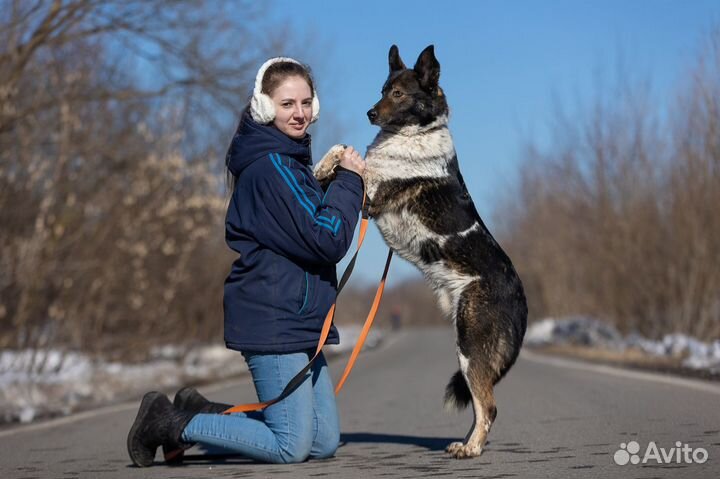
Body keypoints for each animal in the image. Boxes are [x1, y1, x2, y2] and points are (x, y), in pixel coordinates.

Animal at [316, 46, 528, 462]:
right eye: (383, 90)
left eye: (399, 94)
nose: (370, 114)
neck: (415, 134)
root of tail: (519, 295)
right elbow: (343, 150)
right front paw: (321, 166)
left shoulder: (372, 199)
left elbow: (355, 162)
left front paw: (328, 164)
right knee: (480, 405)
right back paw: (465, 442)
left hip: (469, 344)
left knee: (489, 406)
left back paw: (471, 449)